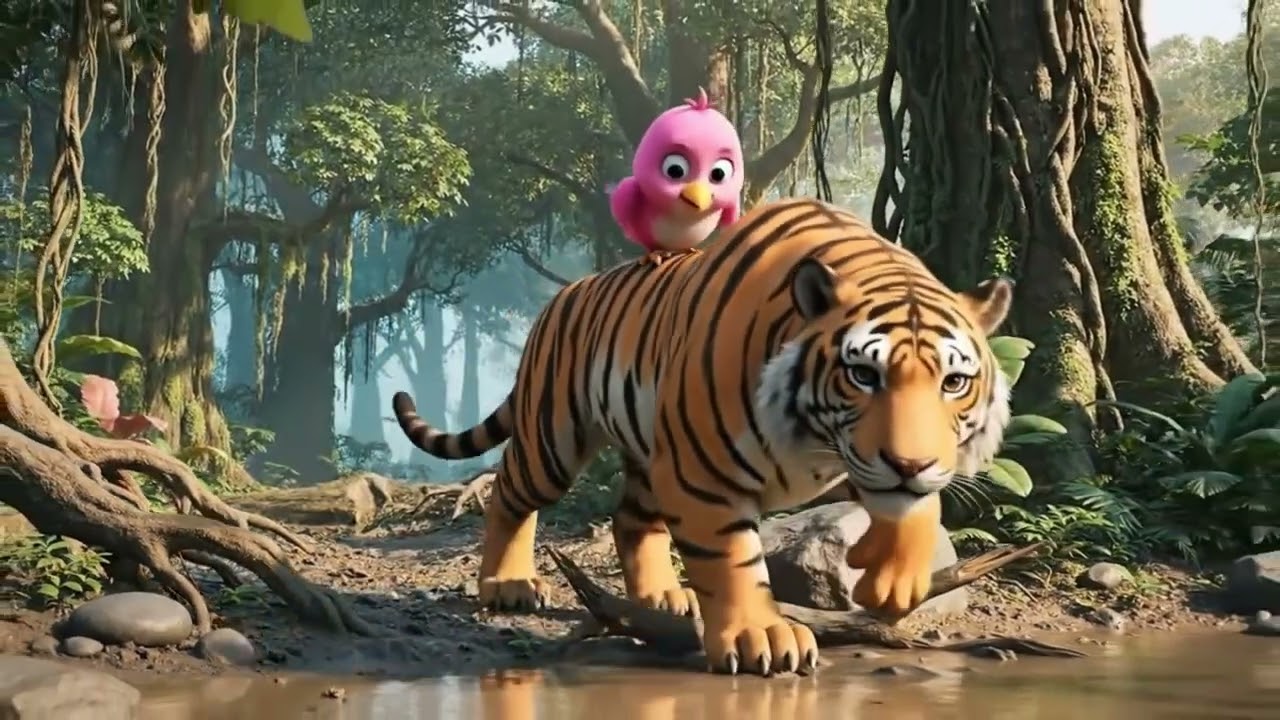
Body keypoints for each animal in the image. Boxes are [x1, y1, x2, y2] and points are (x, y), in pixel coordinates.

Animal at [392, 197, 1014, 676]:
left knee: (630, 519)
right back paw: (508, 584)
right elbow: (734, 558)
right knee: (509, 494)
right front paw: (761, 637)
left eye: (954, 382)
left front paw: (892, 583)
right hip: (556, 438)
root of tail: (563, 295)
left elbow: (918, 510)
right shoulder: (705, 473)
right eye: (864, 374)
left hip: (650, 452)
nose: (910, 464)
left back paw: (662, 597)